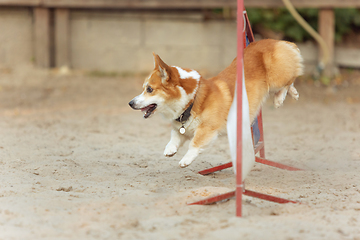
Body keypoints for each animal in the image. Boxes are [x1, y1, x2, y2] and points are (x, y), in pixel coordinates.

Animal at [129, 39, 304, 167]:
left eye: (149, 89)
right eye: (144, 88)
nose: (130, 103)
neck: (192, 101)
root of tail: (279, 41)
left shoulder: (207, 129)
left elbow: (195, 143)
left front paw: (185, 159)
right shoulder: (180, 129)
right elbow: (174, 137)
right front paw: (170, 150)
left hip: (276, 77)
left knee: (290, 78)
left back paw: (279, 98)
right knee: (291, 82)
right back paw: (293, 93)